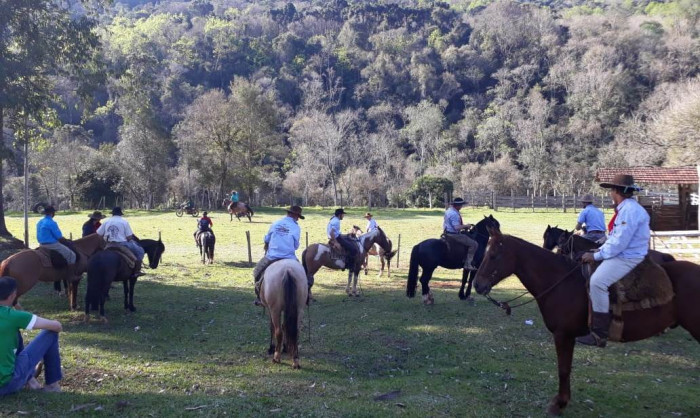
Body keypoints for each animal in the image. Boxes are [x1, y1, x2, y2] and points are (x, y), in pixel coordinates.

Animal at [473, 226, 700, 415]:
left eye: (493, 255)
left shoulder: (563, 335)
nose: (477, 284)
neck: (560, 282)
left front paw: (559, 403)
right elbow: (566, 368)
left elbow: (563, 369)